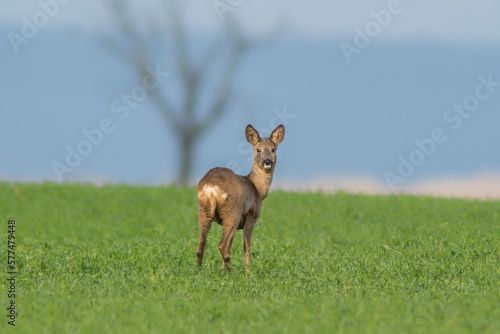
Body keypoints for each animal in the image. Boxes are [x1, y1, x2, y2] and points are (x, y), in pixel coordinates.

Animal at [196, 124, 286, 272]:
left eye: (273, 149)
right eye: (258, 149)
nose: (267, 162)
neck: (257, 189)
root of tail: (211, 188)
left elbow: (232, 245)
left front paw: (222, 271)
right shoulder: (252, 216)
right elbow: (246, 248)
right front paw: (248, 272)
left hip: (204, 211)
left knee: (202, 245)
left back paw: (200, 271)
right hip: (233, 212)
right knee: (222, 245)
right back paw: (232, 272)